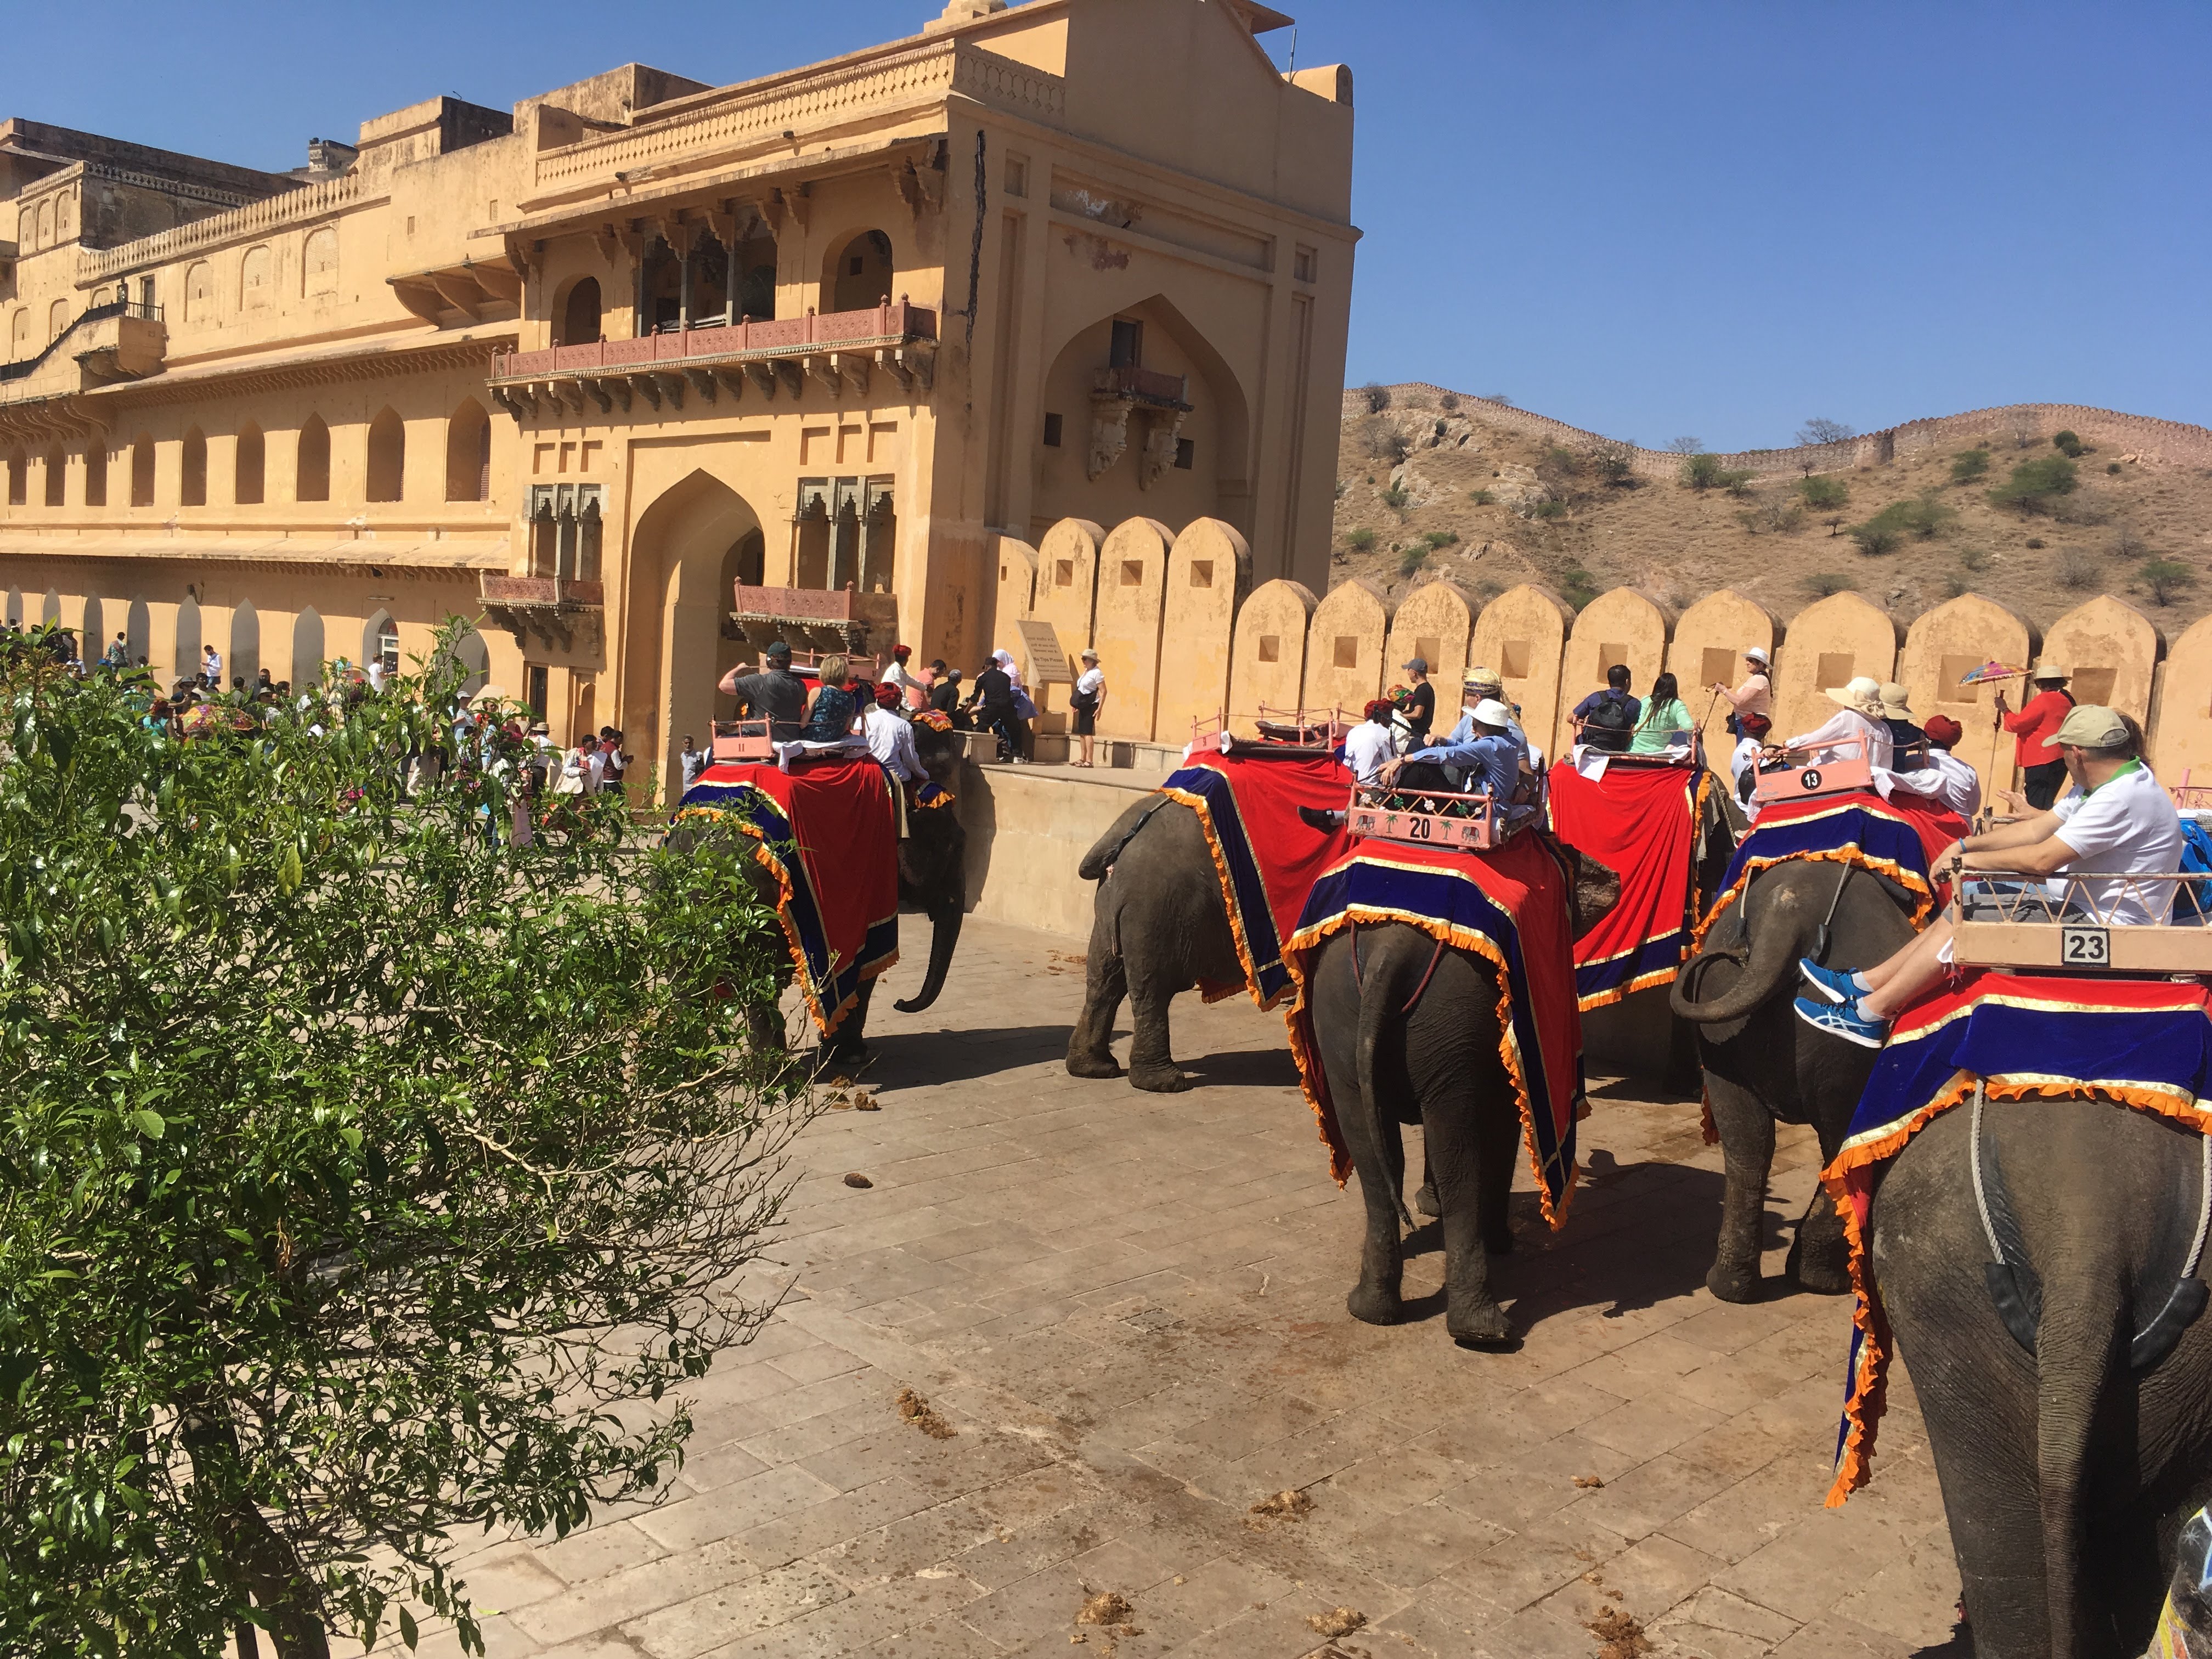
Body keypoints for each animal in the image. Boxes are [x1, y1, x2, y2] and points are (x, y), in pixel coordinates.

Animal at [1066, 800, 1256, 1097]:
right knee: (1154, 988)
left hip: (1113, 908)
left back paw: (1094, 1069)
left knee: (1104, 979)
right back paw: (1165, 1083)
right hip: (1161, 908)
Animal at [1291, 849, 1628, 1345]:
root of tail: (1389, 953)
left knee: (1375, 1156)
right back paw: (1483, 1330)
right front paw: (1502, 1243)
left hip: (1341, 1012)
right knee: (1456, 1155)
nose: (1617, 878)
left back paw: (1371, 1311)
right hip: (1452, 1011)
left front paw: (1427, 1207)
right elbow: (1503, 1124)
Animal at [1663, 862, 1928, 1309]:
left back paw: (1731, 1287)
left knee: (1747, 1141)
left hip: (1720, 1015)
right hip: (1849, 1050)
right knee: (1843, 1145)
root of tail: (1786, 915)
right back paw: (1819, 1280)